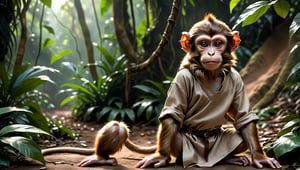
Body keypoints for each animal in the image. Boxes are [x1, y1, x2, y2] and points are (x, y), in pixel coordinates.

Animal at [42, 13, 282, 169]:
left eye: (218, 43)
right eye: (204, 44)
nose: (212, 53)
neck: (208, 74)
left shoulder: (237, 79)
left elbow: (244, 119)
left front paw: (260, 157)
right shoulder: (181, 79)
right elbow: (171, 115)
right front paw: (160, 157)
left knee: (237, 134)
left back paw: (228, 158)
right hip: (181, 148)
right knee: (119, 128)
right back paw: (104, 158)